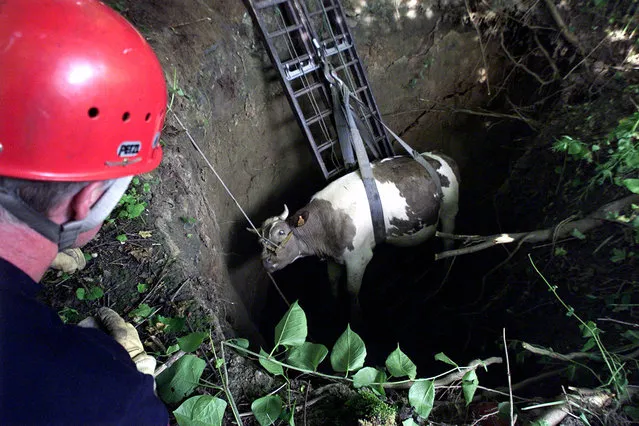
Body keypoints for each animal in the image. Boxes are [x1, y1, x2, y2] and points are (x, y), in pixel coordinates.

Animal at [251, 151, 460, 314]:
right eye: (260, 242)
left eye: (281, 232)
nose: (265, 262)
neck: (324, 226)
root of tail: (441, 156)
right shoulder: (333, 257)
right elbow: (333, 282)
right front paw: (334, 307)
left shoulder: (358, 257)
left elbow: (352, 292)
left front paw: (356, 318)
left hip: (450, 211)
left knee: (449, 243)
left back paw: (443, 276)